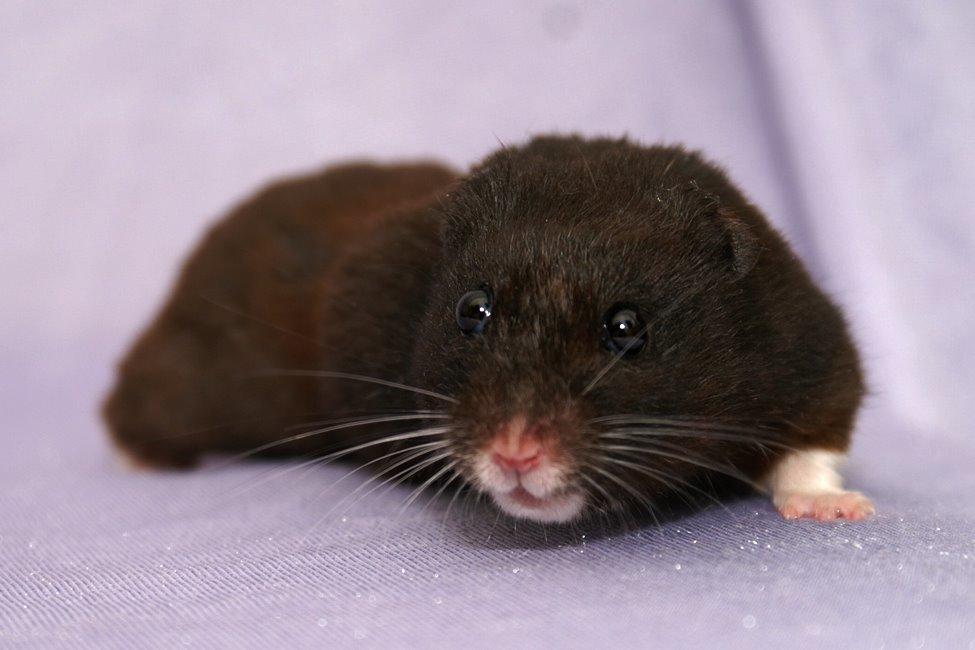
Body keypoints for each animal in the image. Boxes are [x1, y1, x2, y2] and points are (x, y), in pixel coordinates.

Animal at [104, 135, 874, 524]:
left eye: (628, 328)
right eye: (471, 311)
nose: (515, 455)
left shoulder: (809, 346)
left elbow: (813, 442)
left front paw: (839, 510)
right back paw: (133, 459)